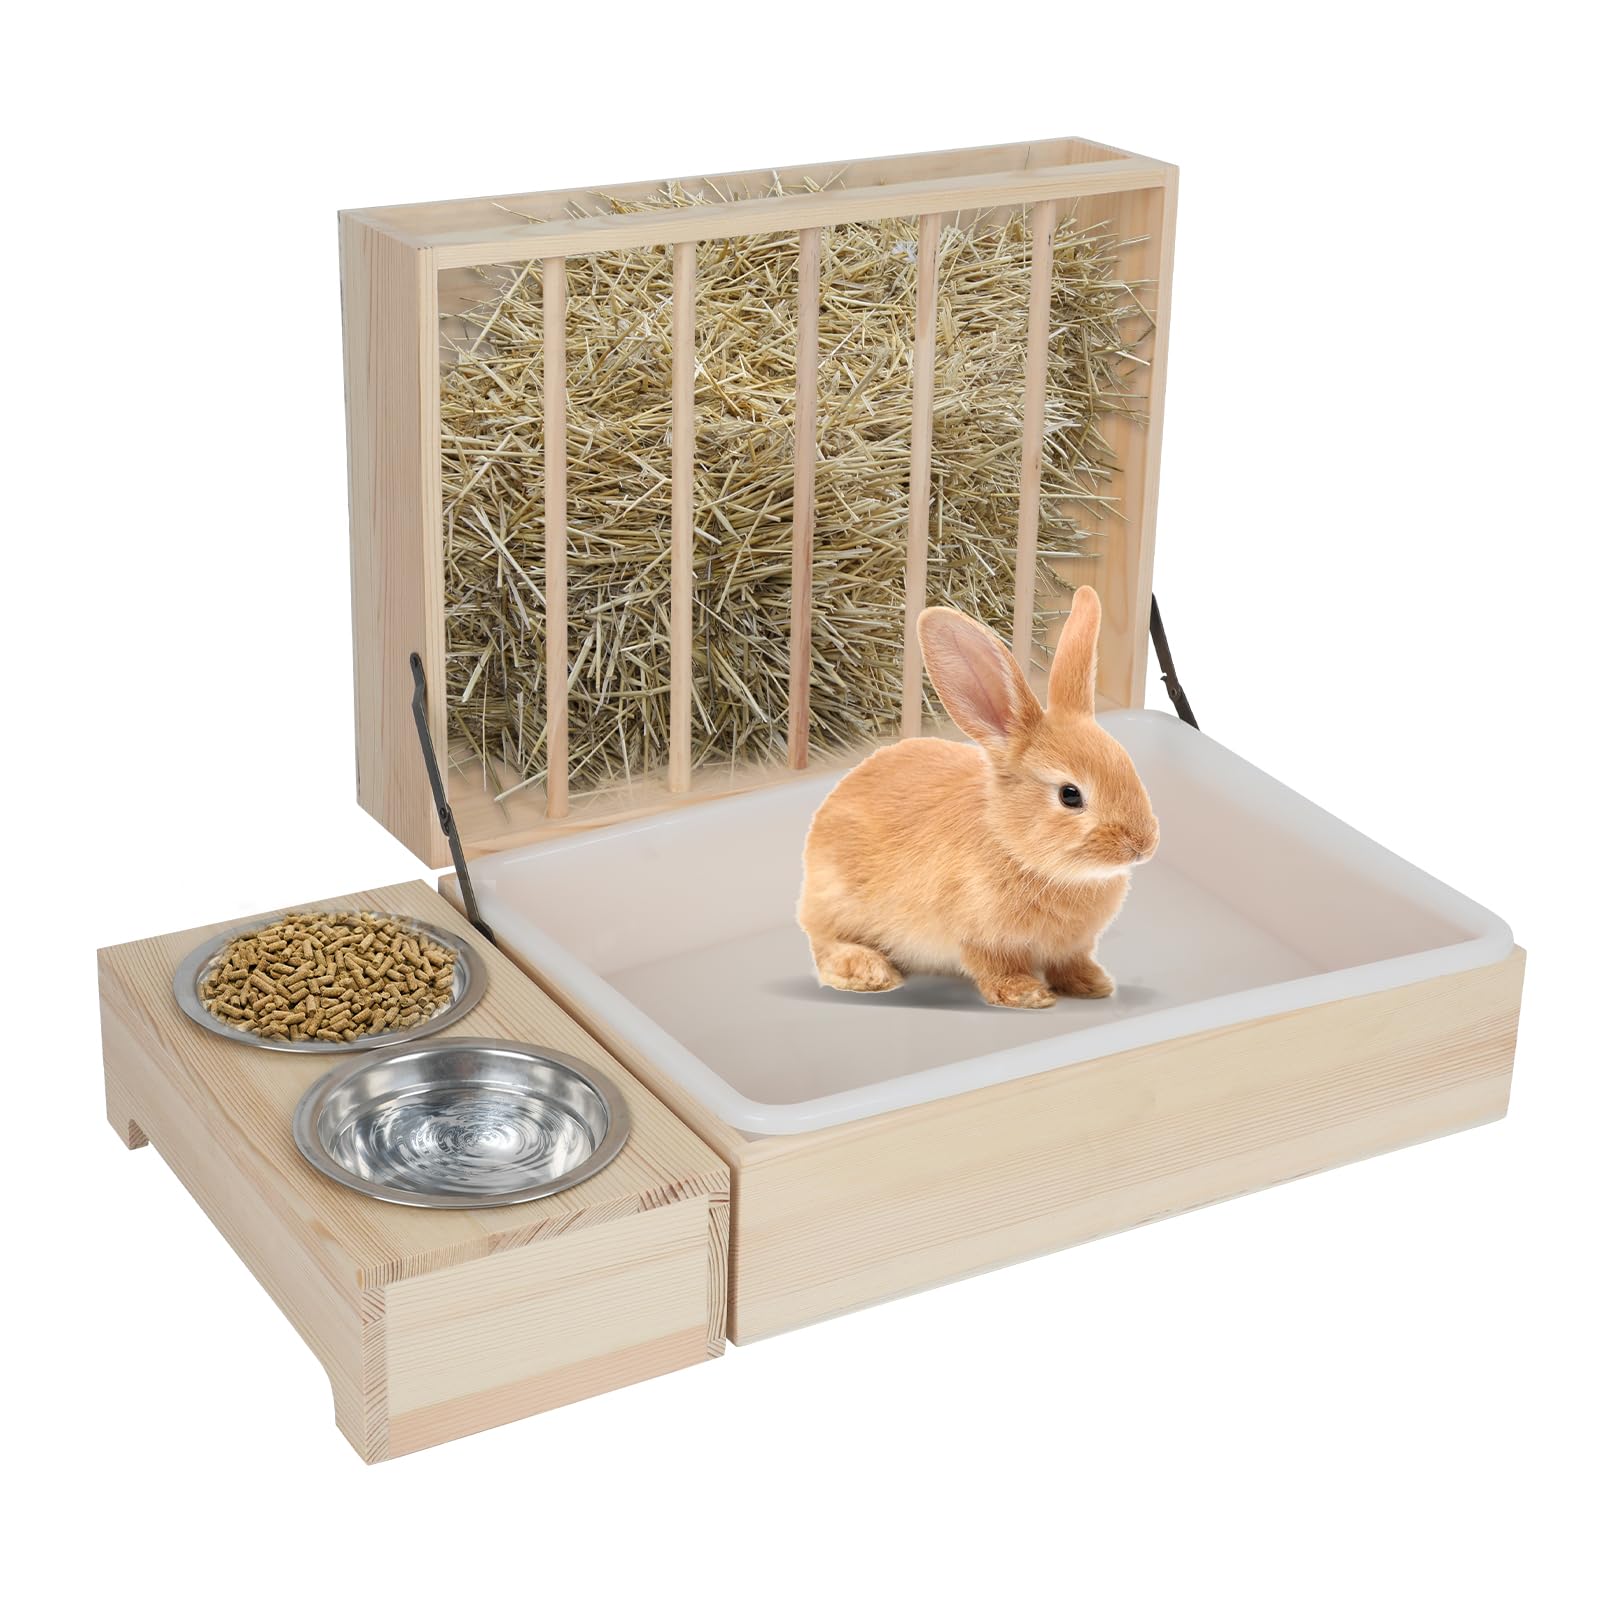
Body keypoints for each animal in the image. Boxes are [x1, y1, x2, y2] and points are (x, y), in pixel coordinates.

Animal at [797, 586, 1158, 1009]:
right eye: (1070, 795)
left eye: (1127, 764)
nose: (1142, 845)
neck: (1017, 849)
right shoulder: (980, 938)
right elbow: (995, 968)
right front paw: (1027, 995)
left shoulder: (1072, 946)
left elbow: (1070, 963)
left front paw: (1092, 985)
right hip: (837, 902)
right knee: (824, 943)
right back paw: (869, 971)